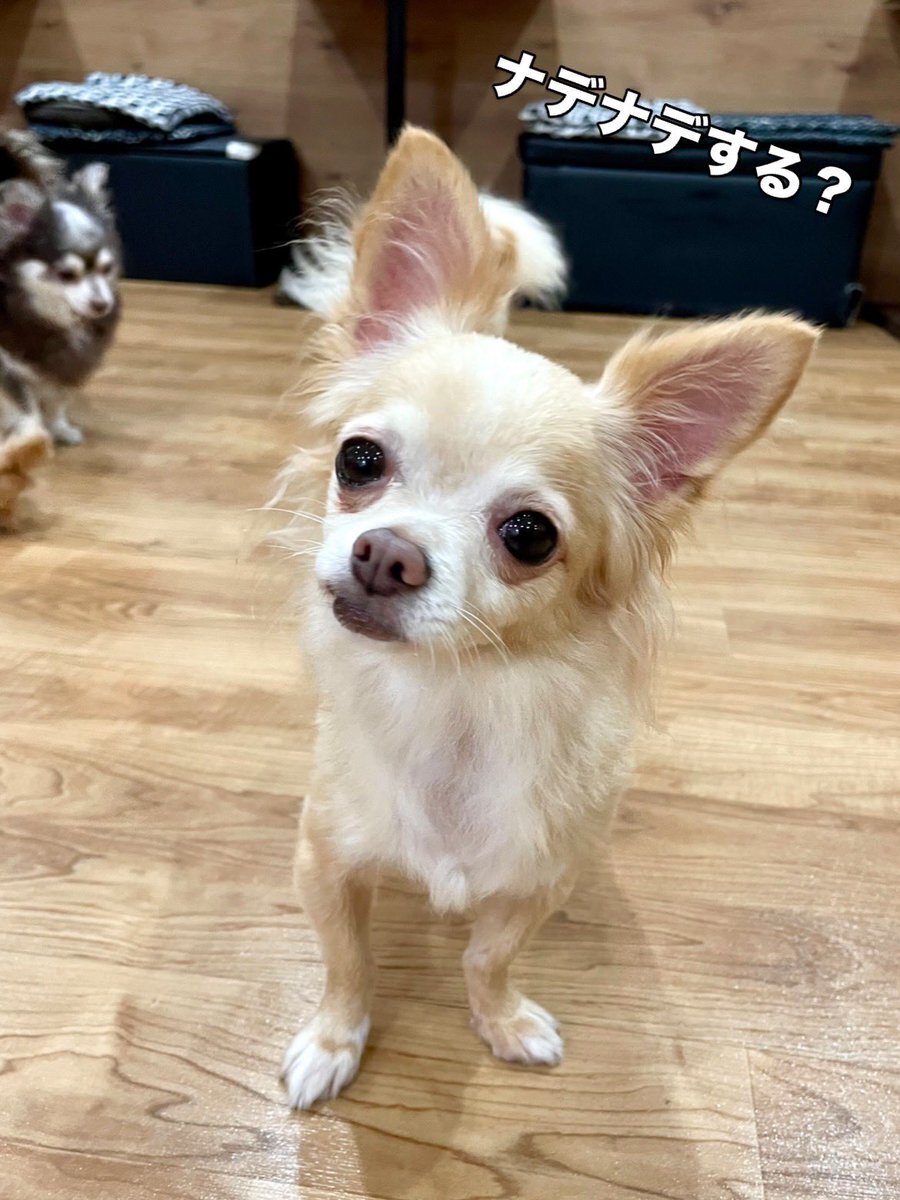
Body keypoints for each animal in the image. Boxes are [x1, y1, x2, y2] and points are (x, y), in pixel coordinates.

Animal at [0, 128, 120, 522]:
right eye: (67, 274)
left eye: (106, 268)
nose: (101, 304)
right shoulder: (6, 366)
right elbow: (27, 407)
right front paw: (29, 437)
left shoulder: (64, 364)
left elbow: (56, 399)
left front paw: (59, 429)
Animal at [273, 127, 817, 1108]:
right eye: (358, 459)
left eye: (529, 535)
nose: (385, 553)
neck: (454, 701)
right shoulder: (324, 858)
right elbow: (347, 963)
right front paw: (335, 1040)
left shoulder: (536, 882)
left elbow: (487, 959)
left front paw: (503, 1022)